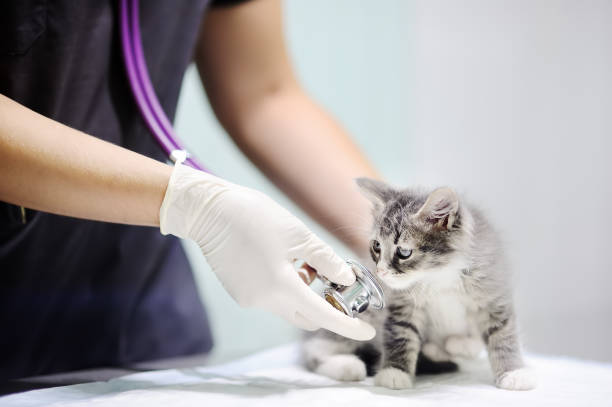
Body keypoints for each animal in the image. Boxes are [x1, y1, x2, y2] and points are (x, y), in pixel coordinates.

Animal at [302, 179, 536, 392]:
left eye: (404, 252)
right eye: (376, 246)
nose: (380, 272)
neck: (439, 276)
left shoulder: (493, 294)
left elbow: (503, 335)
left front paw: (514, 372)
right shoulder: (402, 304)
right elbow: (400, 334)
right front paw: (394, 373)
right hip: (361, 316)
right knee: (315, 349)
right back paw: (345, 365)